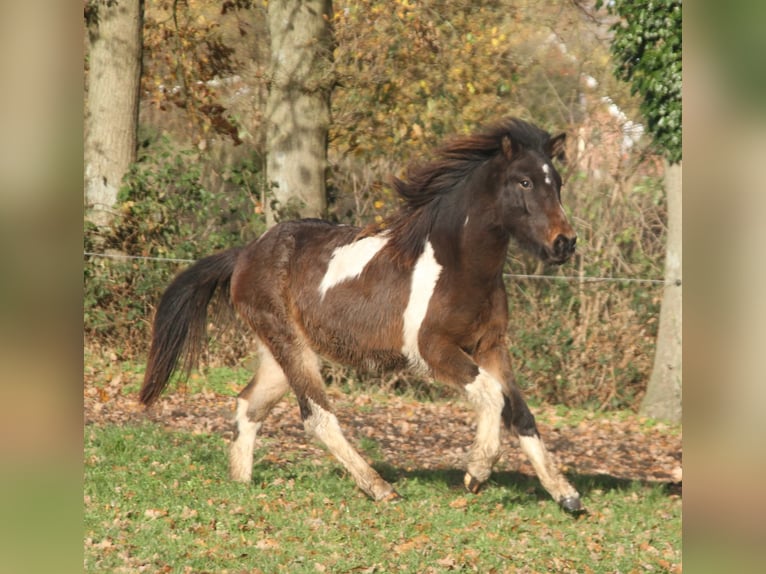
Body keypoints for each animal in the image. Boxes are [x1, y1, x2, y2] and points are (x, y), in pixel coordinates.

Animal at [139, 118, 582, 513]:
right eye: (524, 182)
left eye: (558, 183)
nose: (564, 243)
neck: (459, 266)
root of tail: (246, 253)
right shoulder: (433, 350)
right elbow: (492, 394)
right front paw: (477, 472)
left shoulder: (490, 346)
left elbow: (519, 411)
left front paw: (566, 495)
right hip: (291, 347)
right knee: (317, 417)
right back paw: (380, 488)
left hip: (279, 354)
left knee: (250, 404)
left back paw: (242, 484)